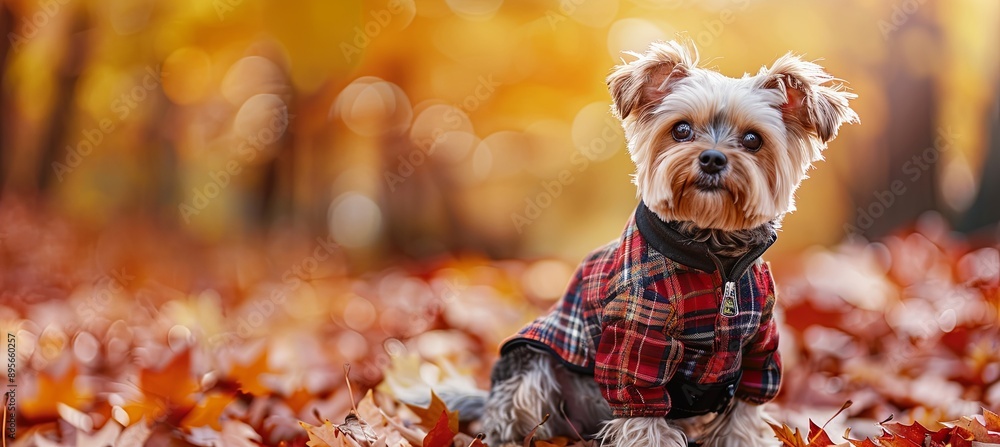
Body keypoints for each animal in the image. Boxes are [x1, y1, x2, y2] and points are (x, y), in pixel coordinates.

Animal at [480, 40, 856, 446]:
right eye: (681, 130)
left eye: (753, 140)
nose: (712, 158)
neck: (713, 250)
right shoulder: (636, 337)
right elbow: (643, 410)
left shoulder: (760, 345)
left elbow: (743, 413)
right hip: (532, 366)